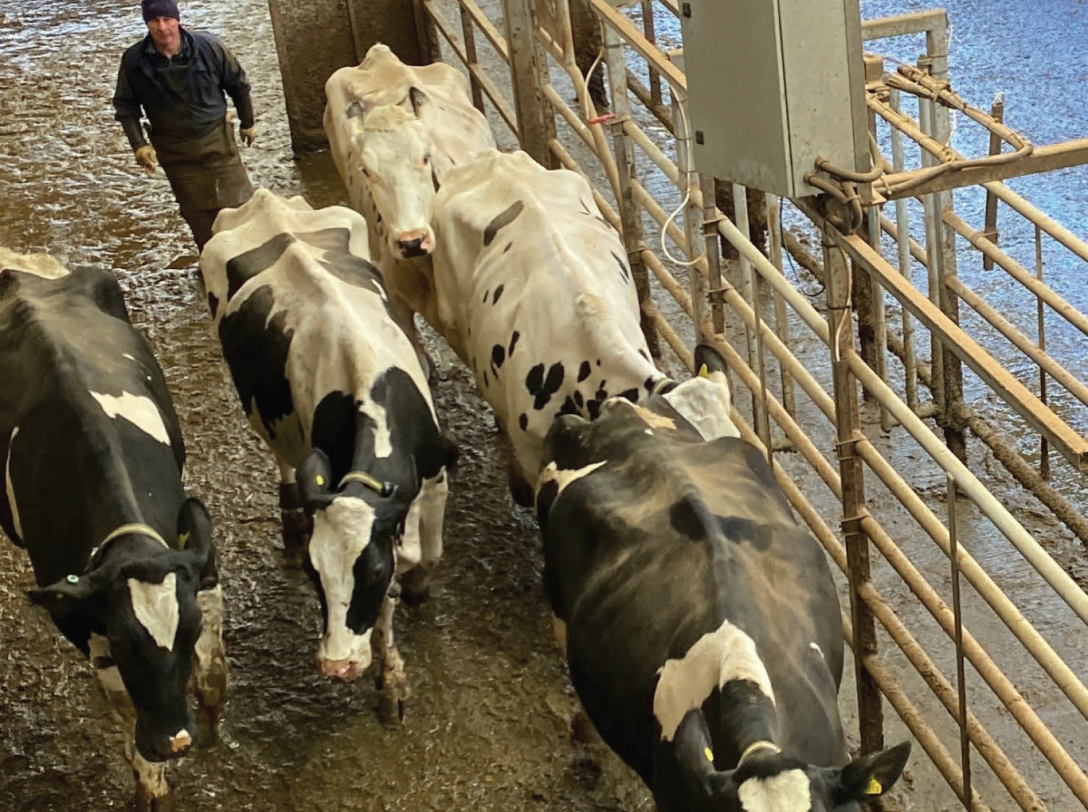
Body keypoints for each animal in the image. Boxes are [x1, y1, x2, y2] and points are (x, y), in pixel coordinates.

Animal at [0, 252, 226, 812]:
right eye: (124, 642)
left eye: (187, 633)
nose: (176, 741)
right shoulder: (79, 619)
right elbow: (124, 702)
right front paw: (151, 779)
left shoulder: (196, 557)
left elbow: (212, 668)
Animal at [200, 189, 456, 716]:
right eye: (313, 573)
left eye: (371, 571)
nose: (337, 666)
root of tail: (266, 201)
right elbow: (384, 612)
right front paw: (391, 681)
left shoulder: (435, 475)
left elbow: (430, 552)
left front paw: (418, 588)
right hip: (263, 409)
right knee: (282, 454)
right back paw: (290, 510)